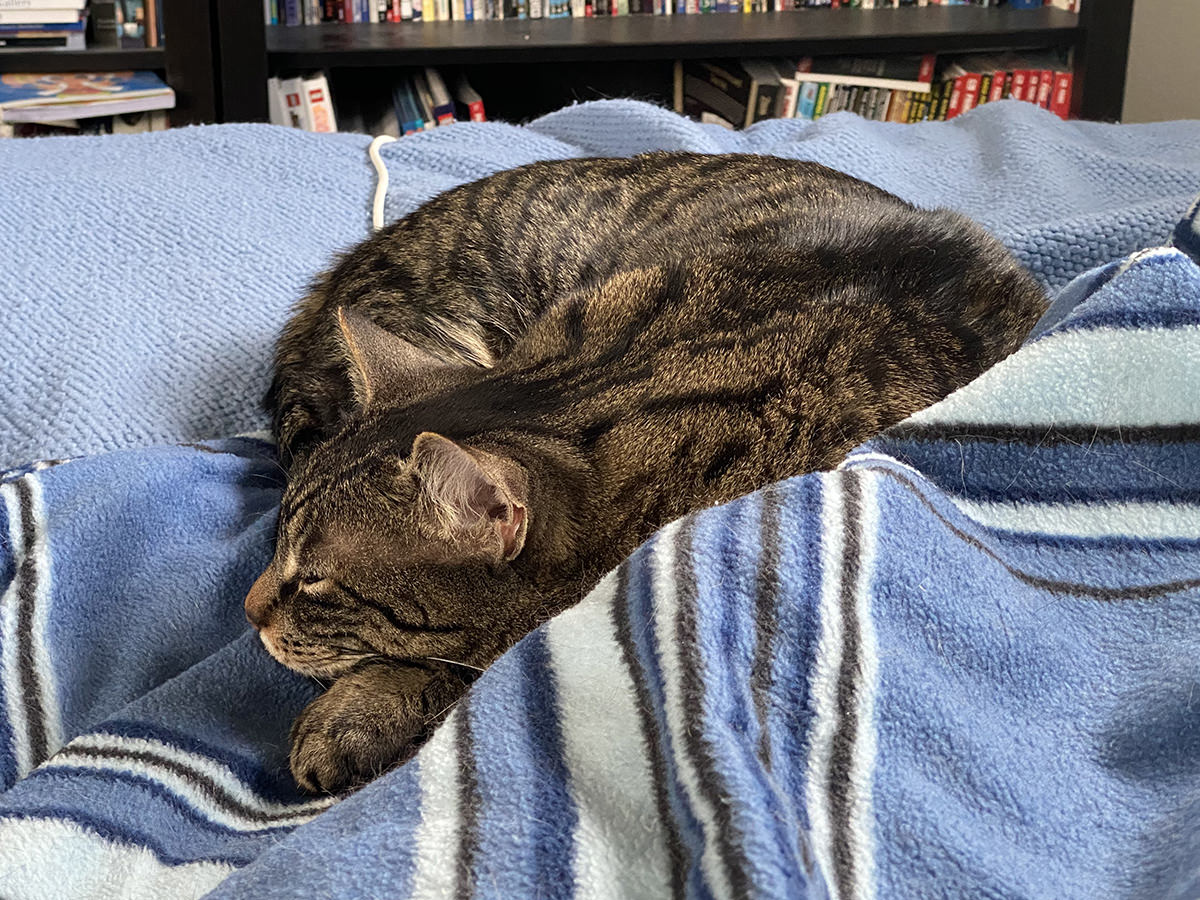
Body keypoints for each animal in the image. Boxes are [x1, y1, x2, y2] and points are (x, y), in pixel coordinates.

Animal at [248, 151, 1046, 792]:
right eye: (277, 543)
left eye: (314, 581)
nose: (251, 612)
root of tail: (324, 294)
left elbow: (471, 651)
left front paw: (355, 713)